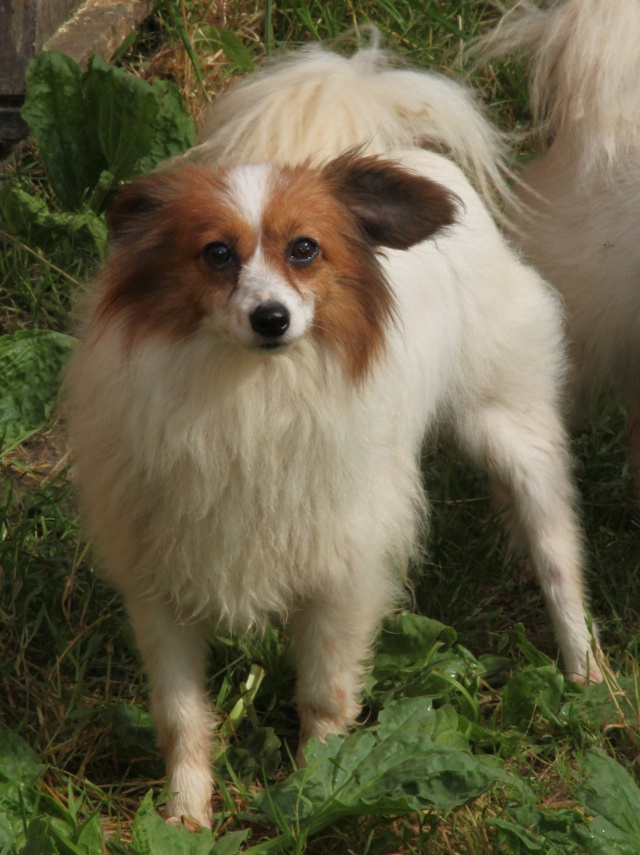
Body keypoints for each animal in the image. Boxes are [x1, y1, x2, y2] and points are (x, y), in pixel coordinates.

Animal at [63, 40, 600, 828]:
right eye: (217, 255)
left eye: (305, 250)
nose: (272, 318)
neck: (249, 397)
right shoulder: (160, 584)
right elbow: (181, 715)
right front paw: (185, 817)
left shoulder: (340, 576)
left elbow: (323, 697)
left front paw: (316, 790)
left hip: (514, 425)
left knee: (559, 555)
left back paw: (587, 674)